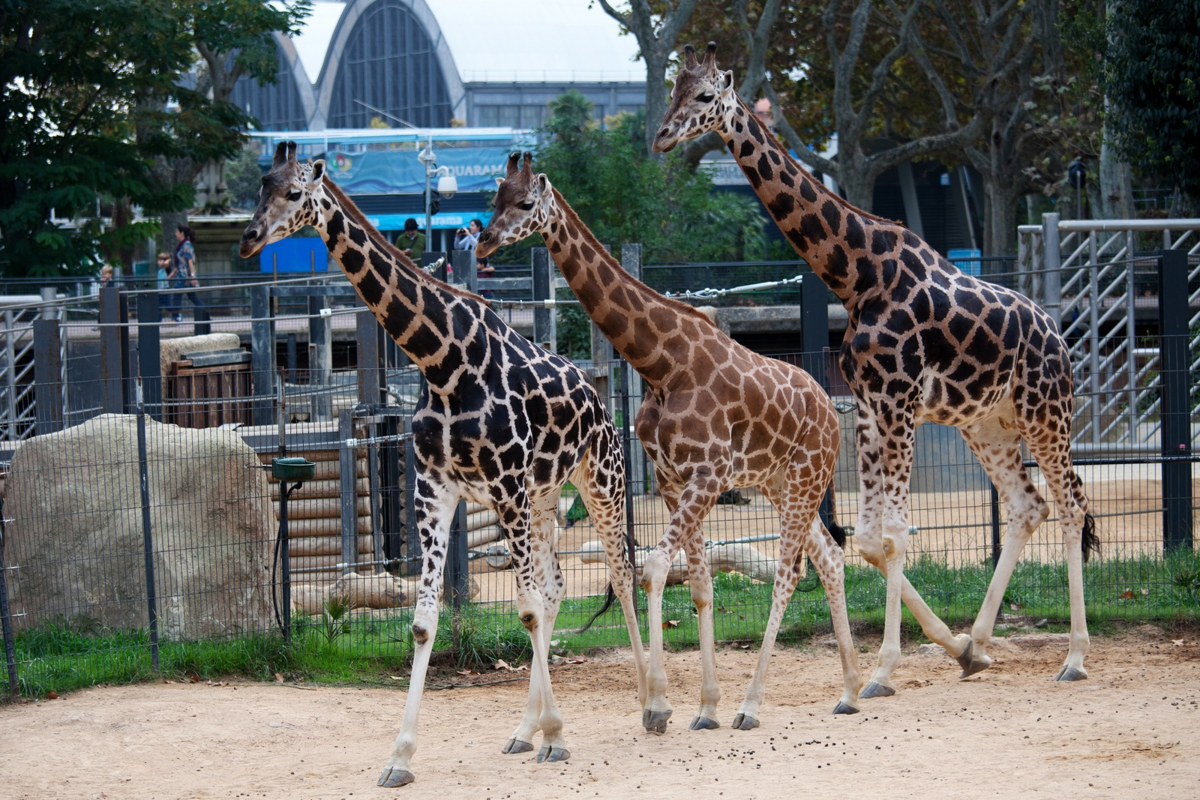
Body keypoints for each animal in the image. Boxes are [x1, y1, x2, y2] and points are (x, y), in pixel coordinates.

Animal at [236, 140, 648, 786]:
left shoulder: (503, 485)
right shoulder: (435, 489)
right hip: (544, 498)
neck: (440, 361)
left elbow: (525, 610)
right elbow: (427, 620)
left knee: (622, 574)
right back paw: (525, 730)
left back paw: (654, 703)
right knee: (556, 587)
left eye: (294, 192)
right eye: (261, 187)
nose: (251, 237)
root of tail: (599, 393)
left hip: (600, 481)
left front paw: (559, 735)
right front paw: (400, 757)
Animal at [477, 153, 864, 734]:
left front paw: (660, 703)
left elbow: (656, 569)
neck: (661, 364)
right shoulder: (672, 477)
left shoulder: (708, 474)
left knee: (789, 571)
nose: (482, 242)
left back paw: (753, 705)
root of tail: (831, 411)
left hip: (806, 476)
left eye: (525, 203)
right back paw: (849, 691)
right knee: (831, 558)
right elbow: (699, 585)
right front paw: (704, 707)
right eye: (494, 197)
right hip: (779, 482)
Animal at [652, 40, 1099, 695]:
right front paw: (949, 648)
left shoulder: (902, 400)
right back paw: (981, 642)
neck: (856, 273)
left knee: (1070, 506)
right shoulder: (868, 404)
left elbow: (894, 533)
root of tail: (1058, 336)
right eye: (673, 91)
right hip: (986, 424)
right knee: (1027, 506)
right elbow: (866, 538)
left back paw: (1074, 657)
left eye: (706, 96)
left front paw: (884, 669)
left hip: (1047, 414)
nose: (661, 136)